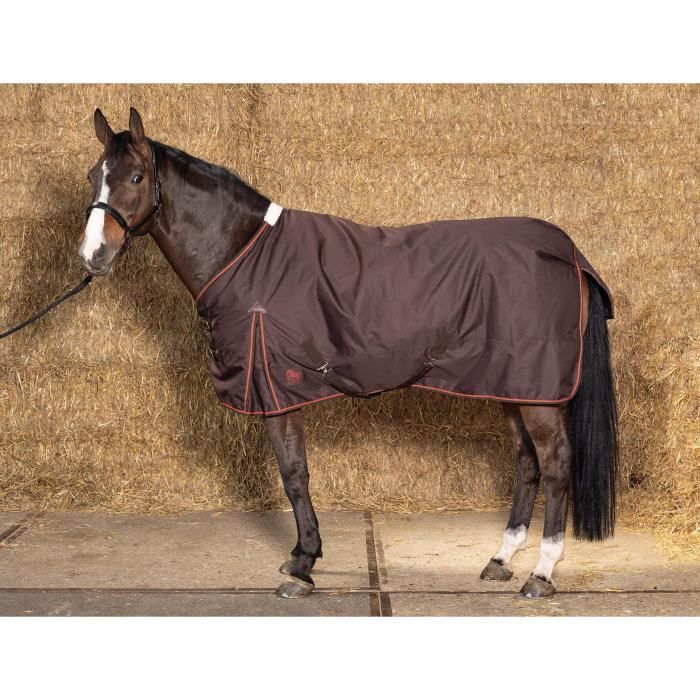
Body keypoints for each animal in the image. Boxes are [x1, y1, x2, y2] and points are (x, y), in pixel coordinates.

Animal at [77, 107, 618, 600]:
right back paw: (501, 559)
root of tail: (569, 253)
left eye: (136, 176)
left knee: (555, 464)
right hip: (511, 384)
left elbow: (294, 475)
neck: (246, 256)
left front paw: (302, 565)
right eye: (91, 176)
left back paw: (541, 574)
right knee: (527, 464)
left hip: (537, 394)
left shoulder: (278, 388)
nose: (92, 256)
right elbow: (295, 474)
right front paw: (302, 555)